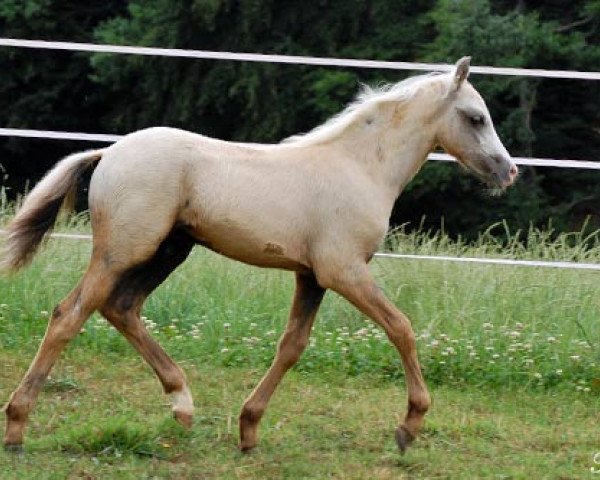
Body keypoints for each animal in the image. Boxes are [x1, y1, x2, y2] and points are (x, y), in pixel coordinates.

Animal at [0, 57, 516, 454]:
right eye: (476, 117)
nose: (508, 171)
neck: (360, 167)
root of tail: (109, 153)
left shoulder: (312, 276)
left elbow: (292, 346)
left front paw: (248, 428)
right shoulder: (344, 270)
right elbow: (401, 328)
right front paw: (409, 426)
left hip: (169, 250)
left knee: (121, 308)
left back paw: (182, 405)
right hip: (124, 250)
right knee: (69, 314)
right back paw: (17, 427)